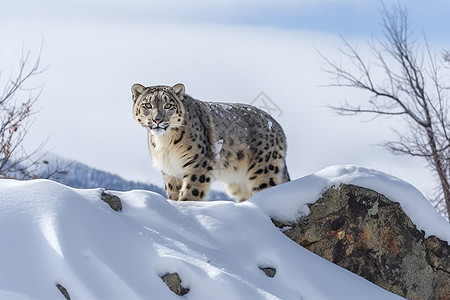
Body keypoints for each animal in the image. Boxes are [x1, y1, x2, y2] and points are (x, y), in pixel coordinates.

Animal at [132, 83, 290, 203]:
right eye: (147, 105)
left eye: (168, 105)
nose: (157, 120)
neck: (166, 143)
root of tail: (277, 126)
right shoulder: (170, 170)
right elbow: (172, 192)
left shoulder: (198, 163)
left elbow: (192, 191)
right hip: (238, 183)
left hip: (264, 170)